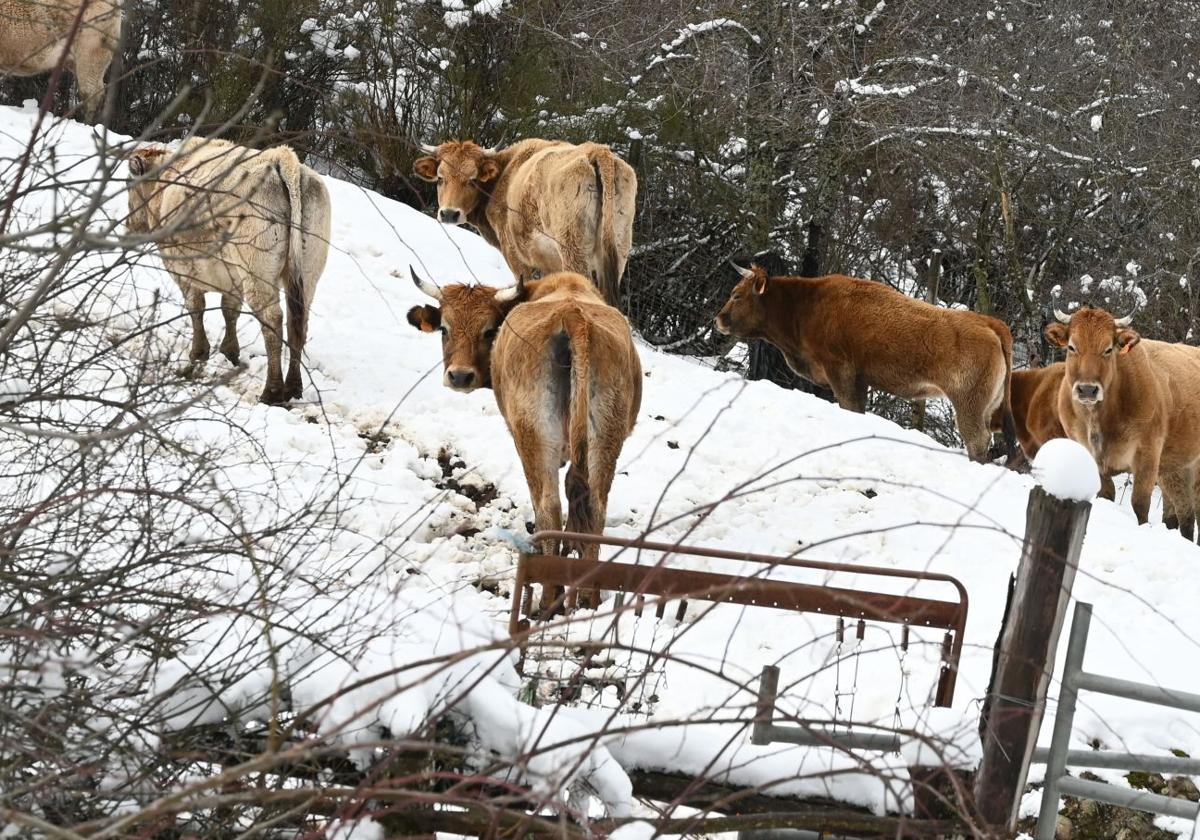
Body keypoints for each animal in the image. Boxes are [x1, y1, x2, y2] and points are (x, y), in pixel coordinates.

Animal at [126, 138, 331, 408]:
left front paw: (198, 353)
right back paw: (294, 387)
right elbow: (229, 310)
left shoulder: (183, 268)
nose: (128, 225)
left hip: (256, 272)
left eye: (128, 185)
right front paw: (229, 351)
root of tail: (281, 158)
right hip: (306, 275)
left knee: (272, 321)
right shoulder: (232, 275)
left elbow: (196, 308)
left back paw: (272, 391)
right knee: (298, 323)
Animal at [405, 265, 648, 580]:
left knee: (548, 508)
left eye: (488, 331)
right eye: (445, 329)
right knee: (594, 511)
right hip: (604, 443)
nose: (459, 376)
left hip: (534, 440)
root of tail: (573, 317)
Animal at [412, 139, 638, 307]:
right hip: (618, 252)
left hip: (573, 251)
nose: (449, 214)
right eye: (440, 178)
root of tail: (597, 151)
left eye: (473, 180)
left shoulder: (515, 255)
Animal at [715, 262, 1017, 463]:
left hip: (968, 405)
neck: (807, 305)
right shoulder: (859, 381)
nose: (718, 319)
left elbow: (850, 407)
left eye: (737, 295)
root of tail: (989, 323)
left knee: (977, 440)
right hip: (988, 407)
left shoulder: (841, 374)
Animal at [1046, 304, 1200, 535]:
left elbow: (1140, 503)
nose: (1087, 389)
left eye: (1108, 349)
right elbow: (1106, 494)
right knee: (1182, 514)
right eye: (1072, 347)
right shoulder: (1089, 454)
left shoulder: (1148, 454)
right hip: (1174, 468)